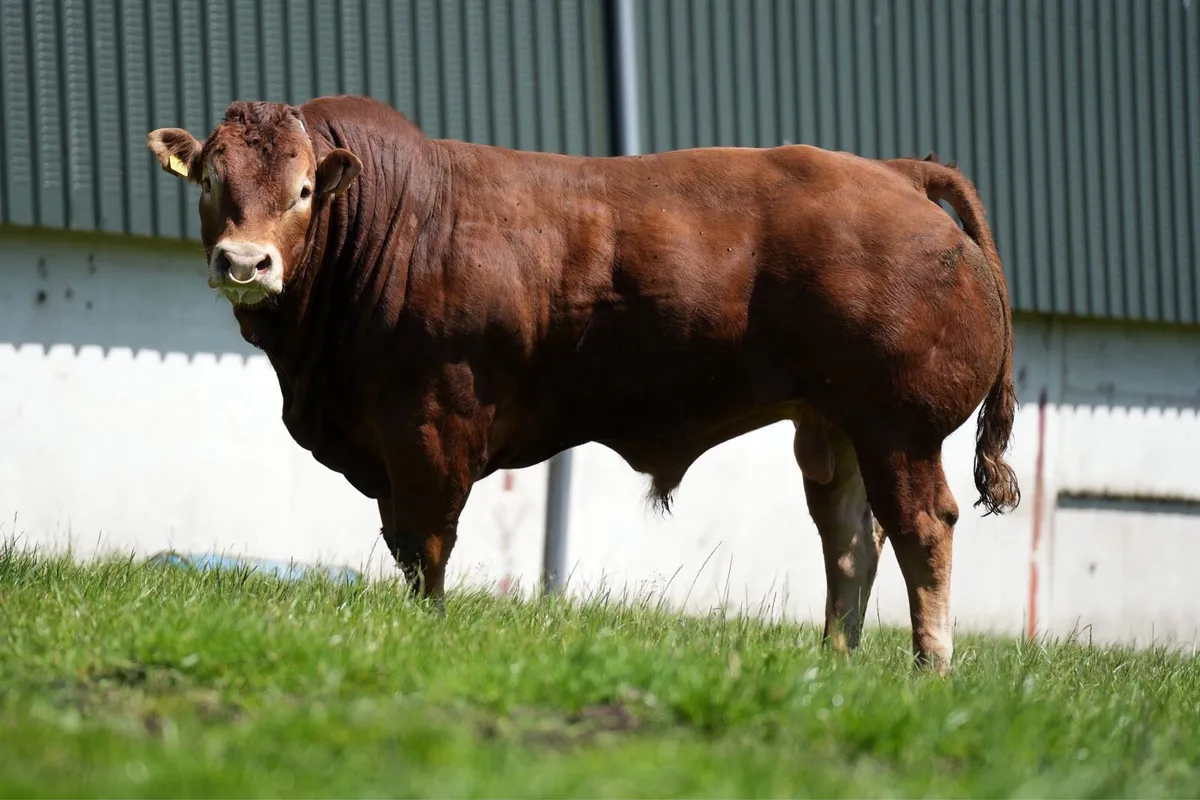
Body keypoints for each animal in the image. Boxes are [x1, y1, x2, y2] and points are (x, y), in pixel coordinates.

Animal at [147, 94, 1019, 674]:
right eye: (210, 183)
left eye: (301, 192)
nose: (245, 264)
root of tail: (896, 172)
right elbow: (402, 543)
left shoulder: (432, 424)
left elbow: (427, 546)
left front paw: (429, 631)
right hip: (833, 426)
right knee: (850, 545)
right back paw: (833, 661)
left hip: (897, 429)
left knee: (922, 530)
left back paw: (928, 668)